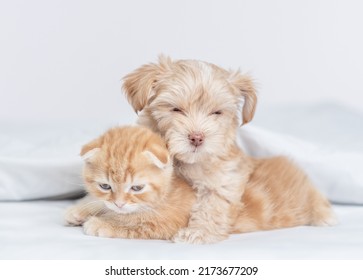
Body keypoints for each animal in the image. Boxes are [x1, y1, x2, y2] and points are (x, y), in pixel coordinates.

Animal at [64, 126, 336, 240]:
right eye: (105, 186)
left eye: (137, 188)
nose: (119, 203)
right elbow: (102, 205)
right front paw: (80, 209)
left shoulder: (167, 223)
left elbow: (132, 223)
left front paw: (99, 224)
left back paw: (326, 215)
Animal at [123, 55, 338, 244]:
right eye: (176, 109)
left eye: (217, 112)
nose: (197, 138)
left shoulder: (225, 179)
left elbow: (213, 205)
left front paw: (198, 233)